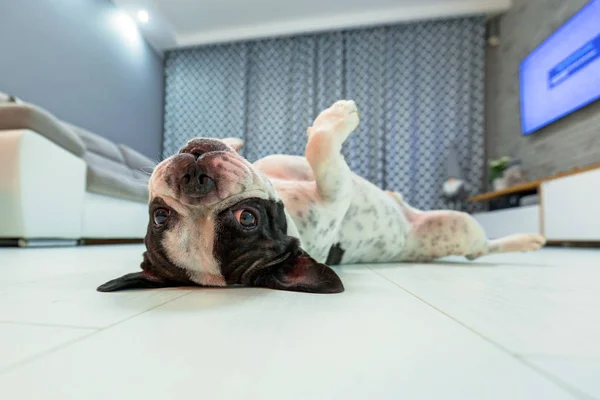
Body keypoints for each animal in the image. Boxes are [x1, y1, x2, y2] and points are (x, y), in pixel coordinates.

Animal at [98, 100, 544, 294]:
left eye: (159, 216)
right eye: (248, 219)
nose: (194, 177)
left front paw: (233, 139)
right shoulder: (334, 195)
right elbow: (322, 154)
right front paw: (337, 118)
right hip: (461, 228)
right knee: (482, 247)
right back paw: (527, 240)